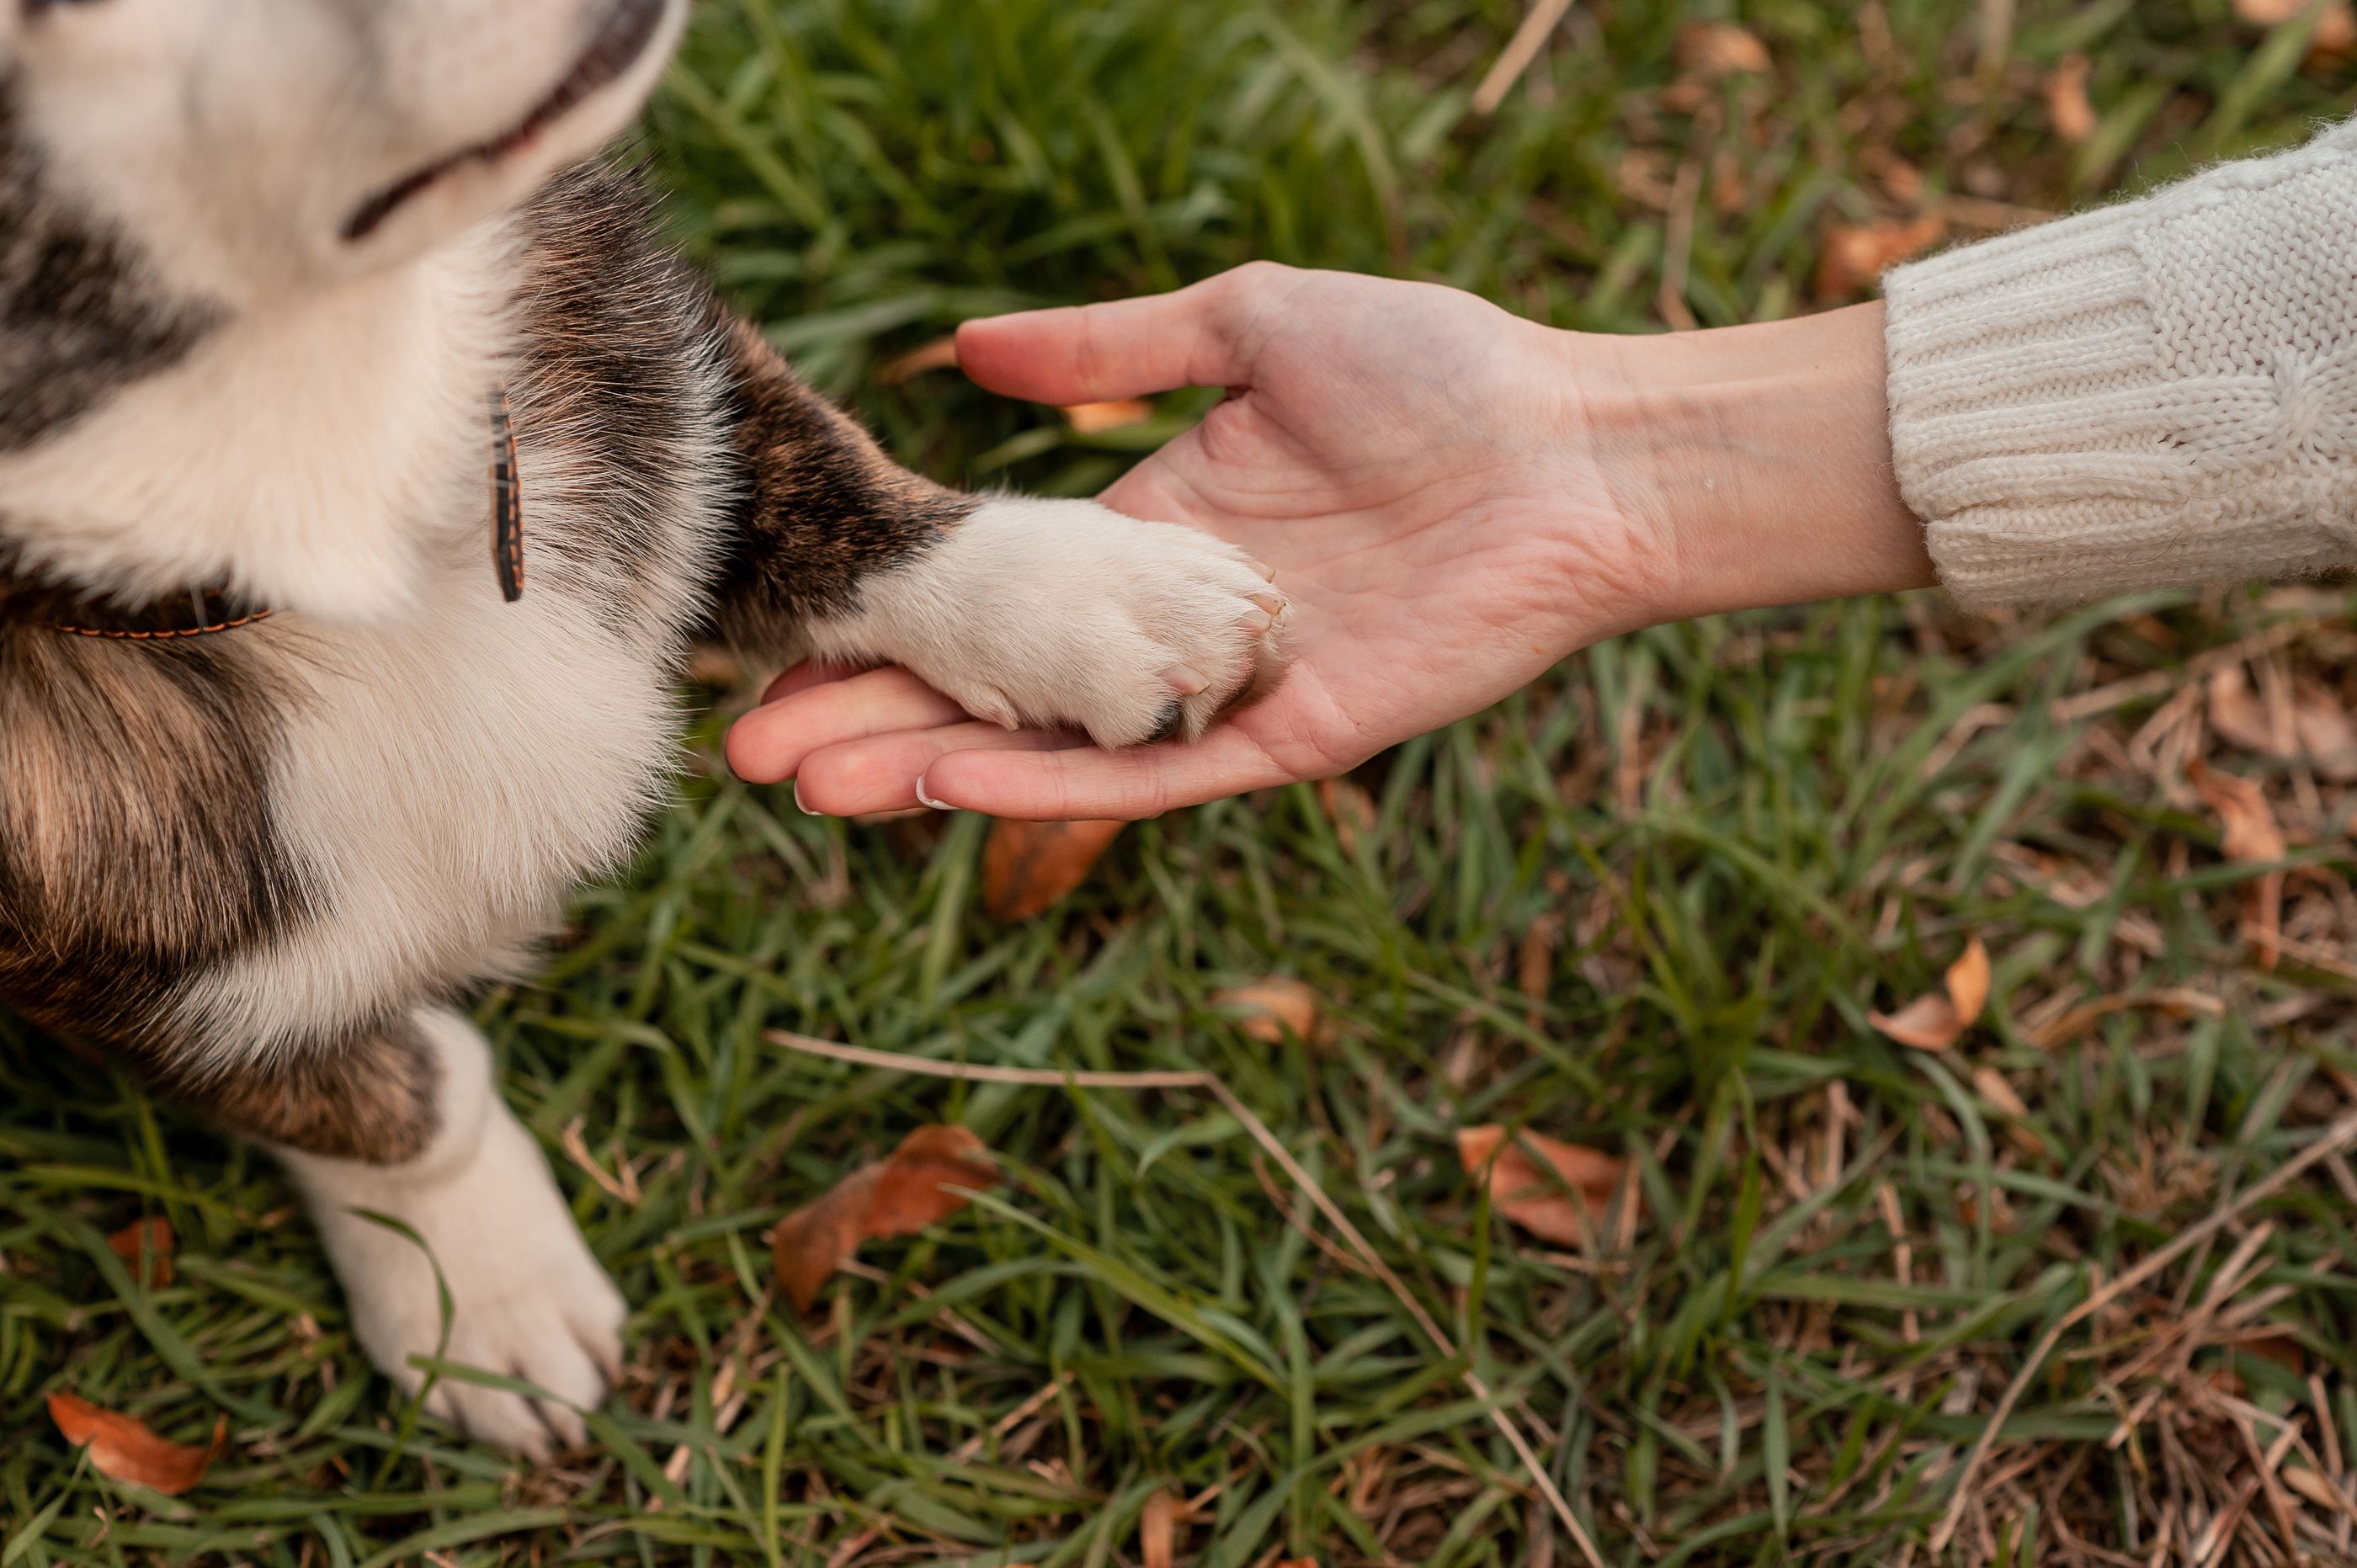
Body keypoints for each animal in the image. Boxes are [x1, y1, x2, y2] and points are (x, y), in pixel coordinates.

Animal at [0, 0, 1282, 1452]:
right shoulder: (120, 974)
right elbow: (391, 1100)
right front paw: (480, 1285)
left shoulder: (655, 358)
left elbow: (823, 482)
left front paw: (1093, 598)